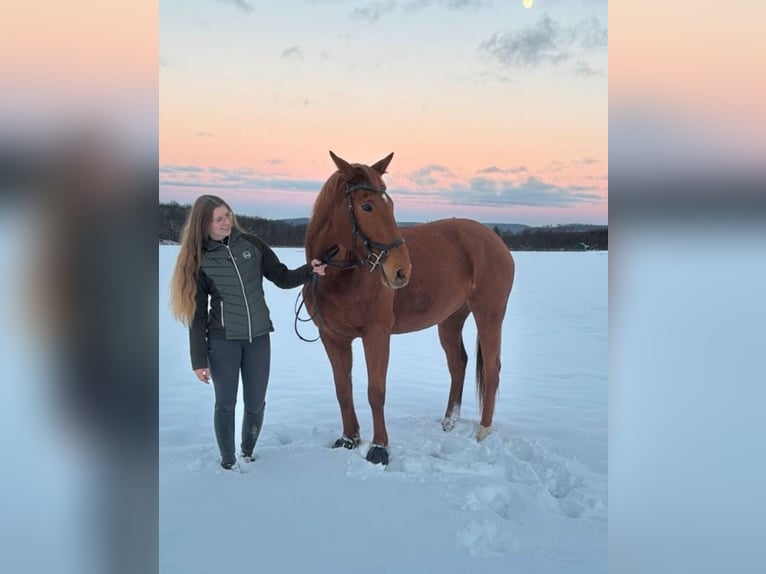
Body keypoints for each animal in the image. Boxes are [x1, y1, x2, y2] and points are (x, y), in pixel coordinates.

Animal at [304, 151, 515, 465]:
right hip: (450, 320)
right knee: (458, 364)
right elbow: (343, 390)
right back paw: (449, 422)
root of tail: (497, 242)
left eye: (390, 204)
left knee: (491, 369)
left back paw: (483, 431)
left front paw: (379, 448)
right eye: (366, 205)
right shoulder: (333, 338)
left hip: (489, 315)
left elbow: (376, 391)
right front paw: (349, 439)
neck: (338, 276)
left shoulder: (376, 335)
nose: (401, 271)